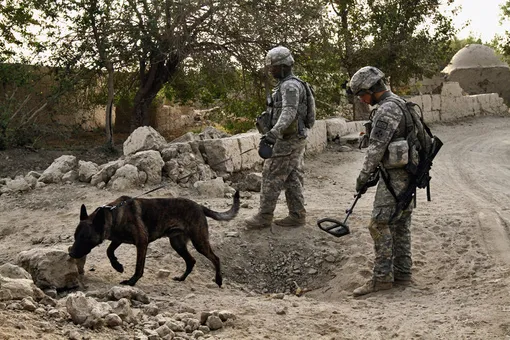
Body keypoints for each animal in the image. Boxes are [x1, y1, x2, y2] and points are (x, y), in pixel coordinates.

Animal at [67, 191, 239, 286]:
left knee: (215, 258)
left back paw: (219, 279)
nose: (71, 253)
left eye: (85, 238)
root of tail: (199, 206)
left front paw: (131, 281)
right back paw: (182, 278)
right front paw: (117, 266)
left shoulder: (141, 242)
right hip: (177, 244)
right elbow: (109, 251)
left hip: (199, 241)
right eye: (75, 236)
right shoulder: (118, 239)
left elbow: (138, 266)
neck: (113, 214)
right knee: (191, 261)